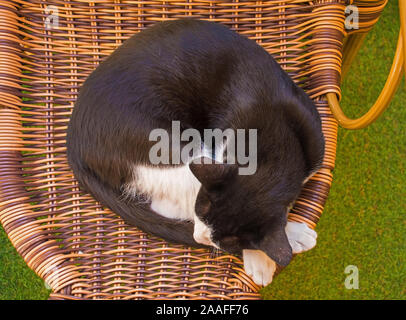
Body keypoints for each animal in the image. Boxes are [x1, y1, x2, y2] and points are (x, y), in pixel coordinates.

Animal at [67, 18, 326, 286]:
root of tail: (73, 143)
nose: (199, 238)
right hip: (165, 146)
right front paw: (263, 255)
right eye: (202, 209)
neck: (276, 134)